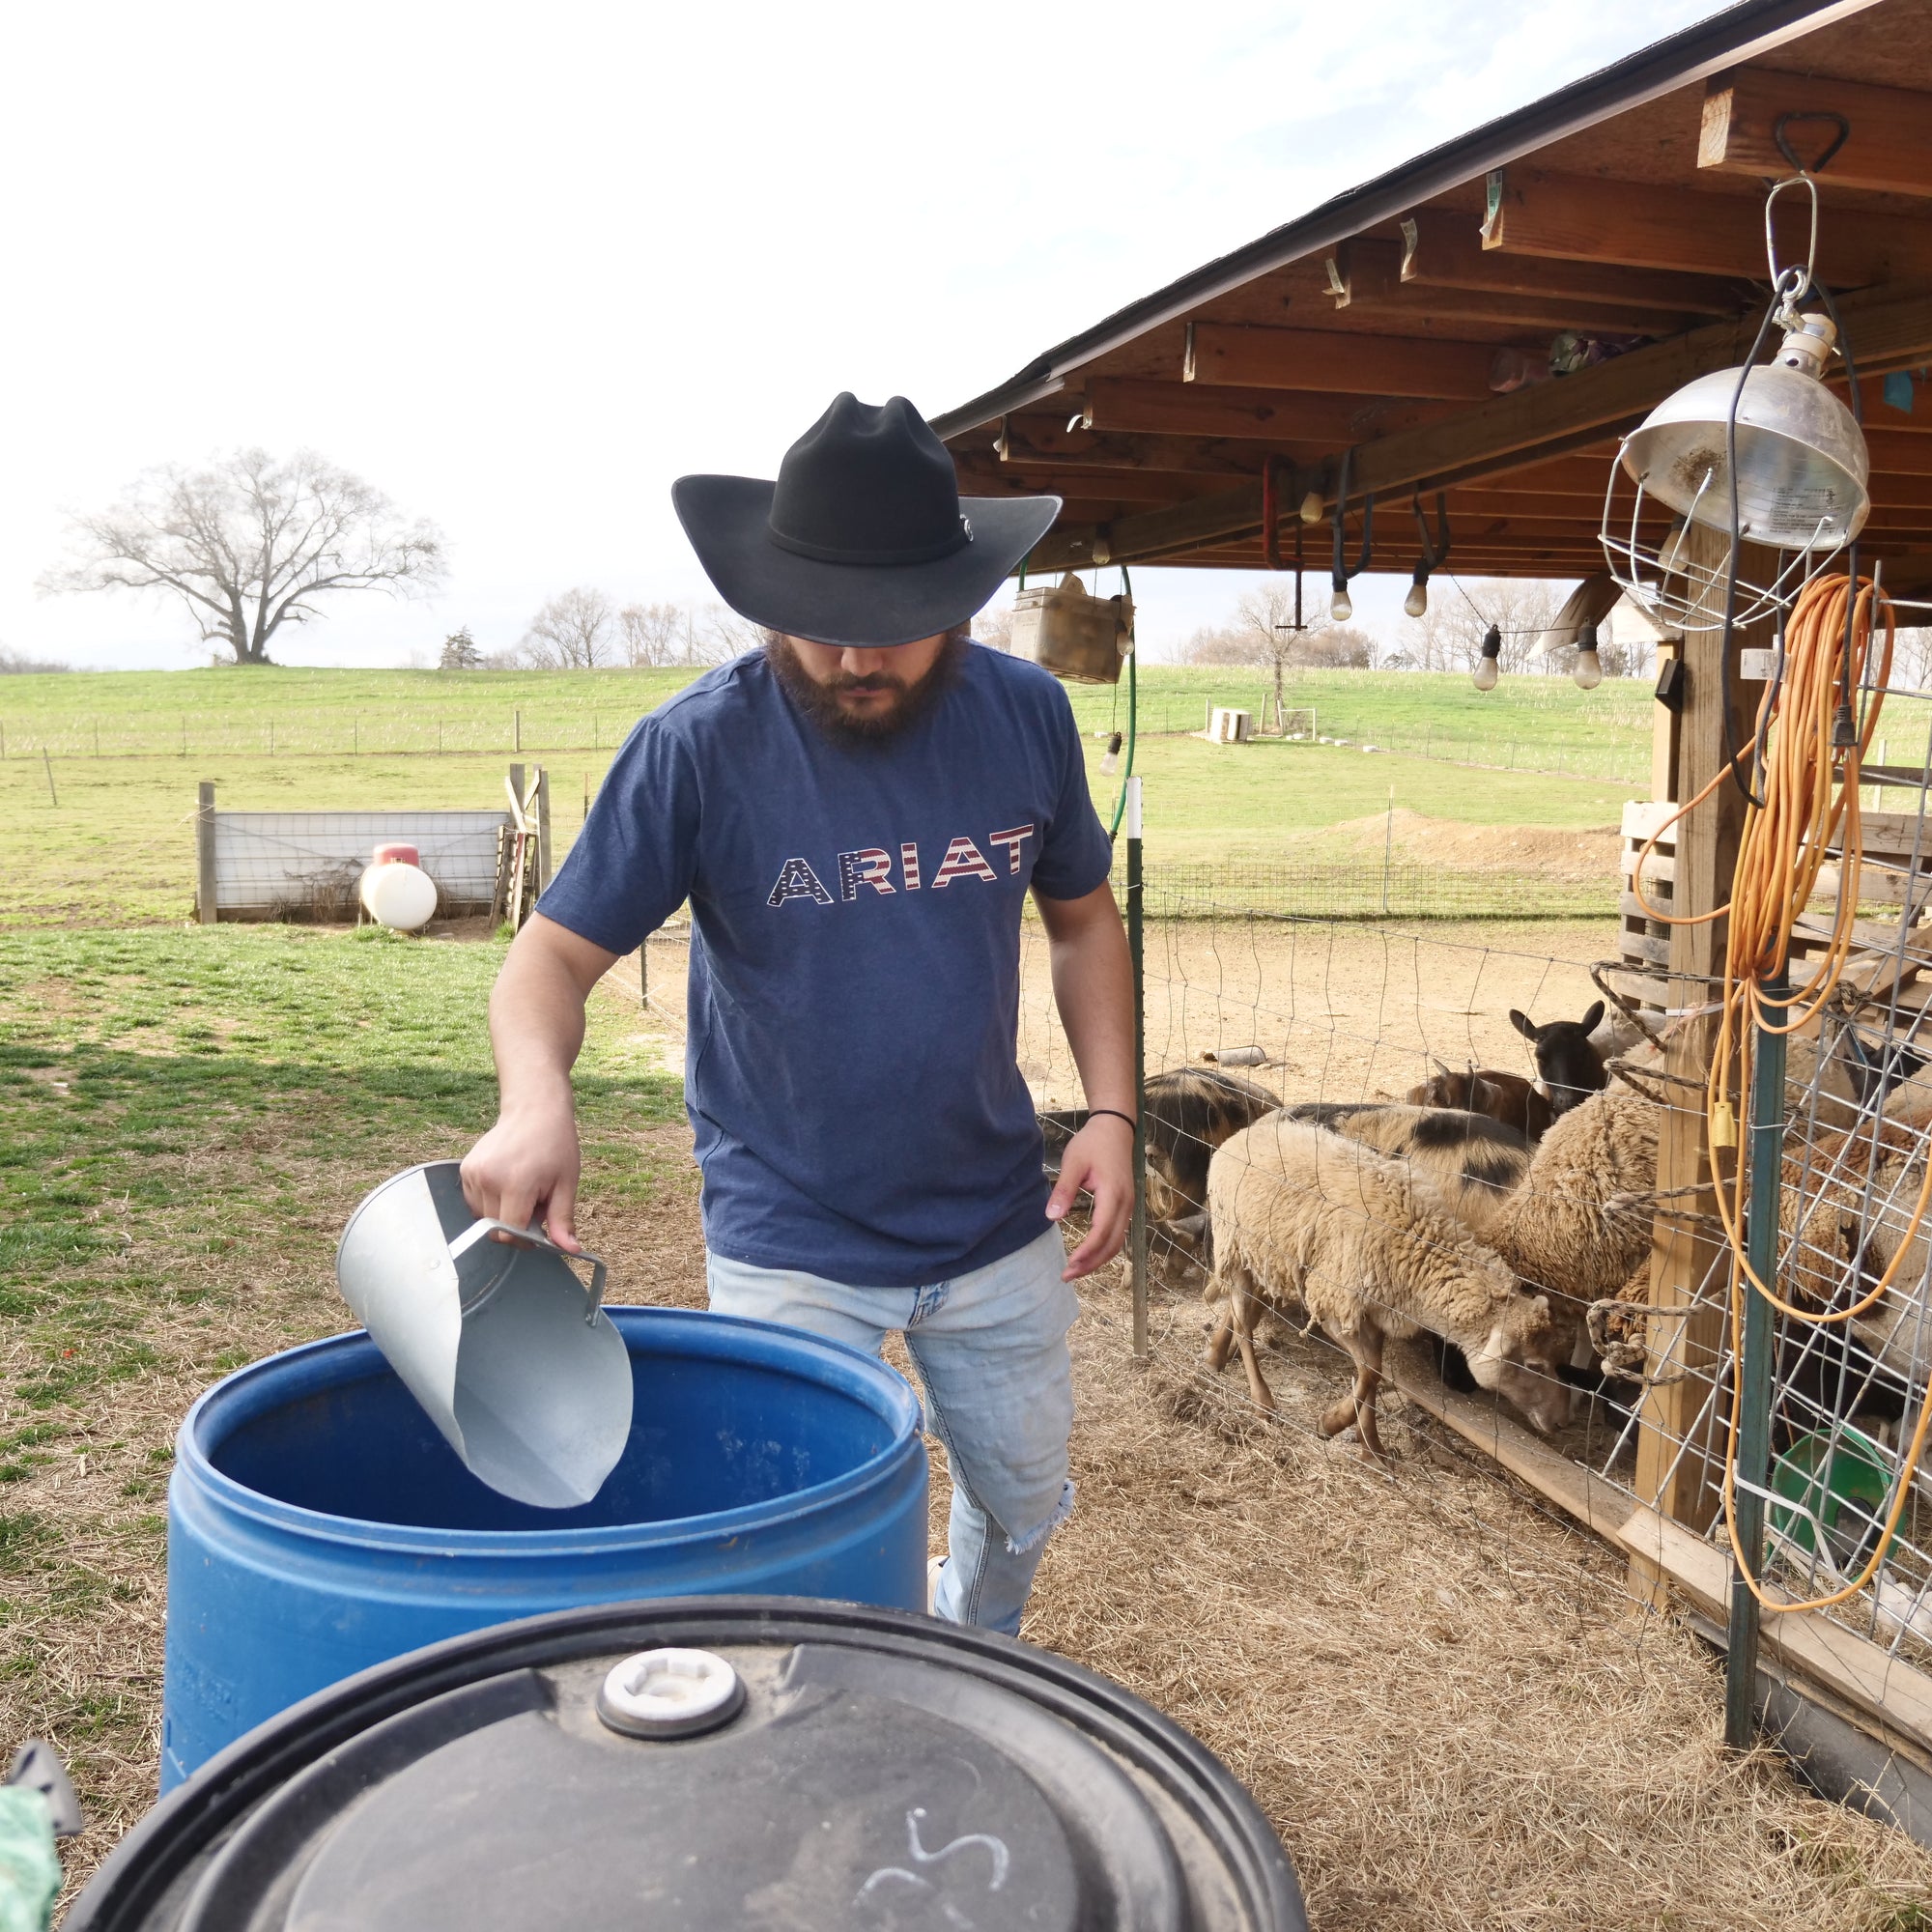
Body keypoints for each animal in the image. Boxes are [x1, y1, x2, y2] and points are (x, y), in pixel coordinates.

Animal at [1198, 1121, 1577, 1453]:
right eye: (1533, 1365)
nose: (1562, 1422)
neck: (1415, 1242)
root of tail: (1241, 1135)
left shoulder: (1377, 1312)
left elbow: (1374, 1373)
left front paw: (1372, 1447)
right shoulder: (1337, 1305)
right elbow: (1369, 1372)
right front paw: (1331, 1424)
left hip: (1268, 1258)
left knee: (1244, 1312)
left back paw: (1215, 1358)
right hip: (1235, 1245)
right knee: (1244, 1324)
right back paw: (1262, 1401)